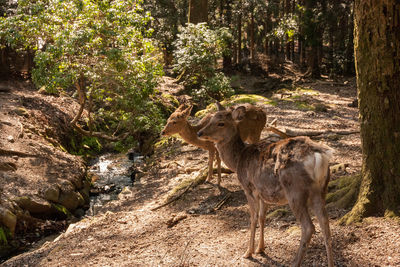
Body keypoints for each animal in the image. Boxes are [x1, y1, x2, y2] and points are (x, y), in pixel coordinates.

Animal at [197, 102, 334, 267]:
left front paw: (248, 252)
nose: (199, 133)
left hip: (295, 190)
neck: (238, 160)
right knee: (325, 224)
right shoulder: (264, 192)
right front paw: (260, 249)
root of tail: (319, 155)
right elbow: (263, 217)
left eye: (221, 123)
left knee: (308, 227)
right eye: (210, 119)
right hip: (321, 189)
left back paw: (294, 262)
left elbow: (253, 218)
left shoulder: (249, 188)